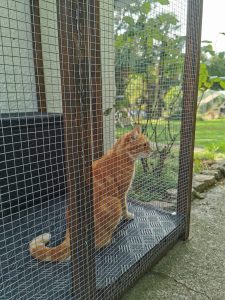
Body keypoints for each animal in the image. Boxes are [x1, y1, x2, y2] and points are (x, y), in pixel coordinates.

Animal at [29, 125, 152, 262]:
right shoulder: (121, 194)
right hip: (113, 202)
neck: (120, 154)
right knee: (100, 242)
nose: (152, 151)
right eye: (145, 144)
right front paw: (127, 216)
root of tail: (72, 236)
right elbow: (125, 207)